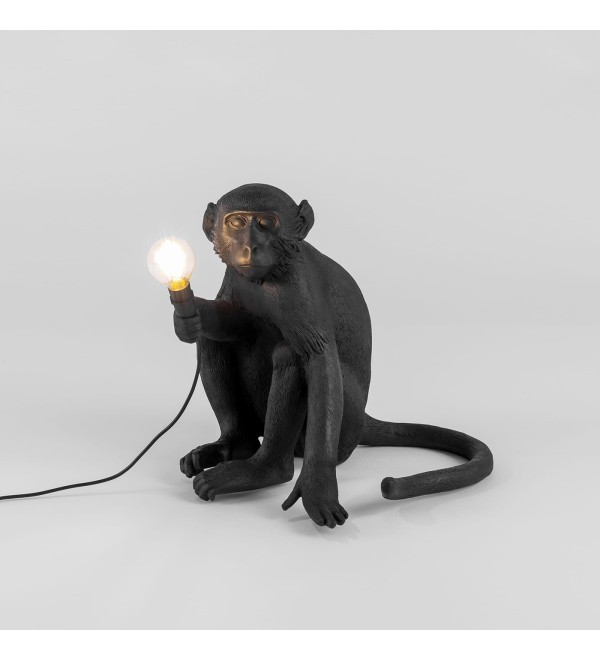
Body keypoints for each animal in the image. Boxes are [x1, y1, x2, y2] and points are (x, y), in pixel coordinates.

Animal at [174, 184, 493, 528]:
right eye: (236, 222)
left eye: (265, 223)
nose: (249, 247)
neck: (269, 275)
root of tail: (363, 418)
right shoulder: (235, 276)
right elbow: (231, 322)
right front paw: (191, 315)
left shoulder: (298, 286)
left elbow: (318, 359)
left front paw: (318, 485)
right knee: (214, 342)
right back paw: (235, 444)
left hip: (345, 426)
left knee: (290, 355)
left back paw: (266, 469)